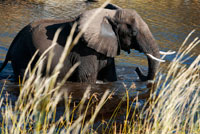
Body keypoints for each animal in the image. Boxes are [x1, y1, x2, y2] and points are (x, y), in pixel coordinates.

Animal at [0, 3, 167, 82]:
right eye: (134, 33)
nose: (137, 69)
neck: (108, 15)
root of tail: (13, 42)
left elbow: (110, 77)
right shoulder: (84, 51)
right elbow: (87, 79)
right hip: (24, 55)